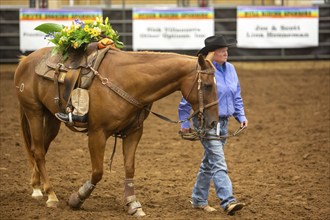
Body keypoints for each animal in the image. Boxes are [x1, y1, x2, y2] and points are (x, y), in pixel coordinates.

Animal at [14, 46, 218, 217]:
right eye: (208, 85)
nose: (214, 121)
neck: (128, 80)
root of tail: (25, 60)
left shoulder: (134, 133)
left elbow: (129, 168)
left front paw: (133, 204)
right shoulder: (97, 133)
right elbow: (98, 172)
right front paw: (77, 199)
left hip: (51, 118)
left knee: (39, 149)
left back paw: (37, 187)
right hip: (34, 112)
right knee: (39, 152)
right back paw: (51, 195)